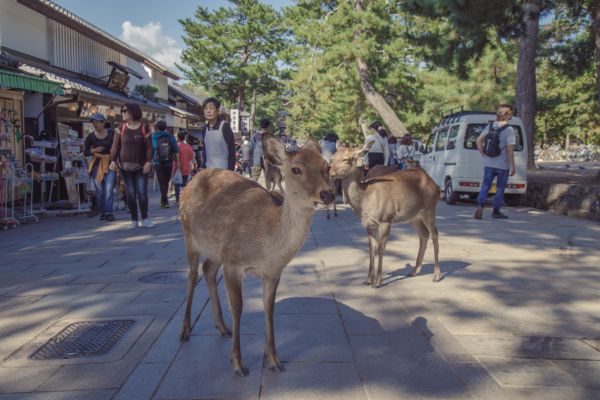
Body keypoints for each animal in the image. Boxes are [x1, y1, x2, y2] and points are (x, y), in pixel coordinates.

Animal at [178, 136, 338, 376]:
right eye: (296, 169)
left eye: (326, 166)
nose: (327, 193)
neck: (266, 248)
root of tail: (194, 177)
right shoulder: (233, 262)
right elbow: (238, 308)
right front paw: (238, 363)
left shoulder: (272, 272)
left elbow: (269, 307)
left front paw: (273, 359)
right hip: (189, 235)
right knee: (191, 275)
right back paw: (185, 331)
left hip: (215, 250)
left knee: (208, 270)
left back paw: (222, 327)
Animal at [328, 147, 440, 288]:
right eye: (332, 157)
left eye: (346, 159)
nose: (331, 172)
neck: (366, 198)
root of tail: (436, 186)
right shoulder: (369, 223)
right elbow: (372, 248)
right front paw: (368, 280)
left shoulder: (386, 218)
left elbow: (381, 247)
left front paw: (378, 282)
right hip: (413, 216)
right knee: (424, 234)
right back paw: (414, 271)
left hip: (429, 208)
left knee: (435, 234)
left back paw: (436, 276)